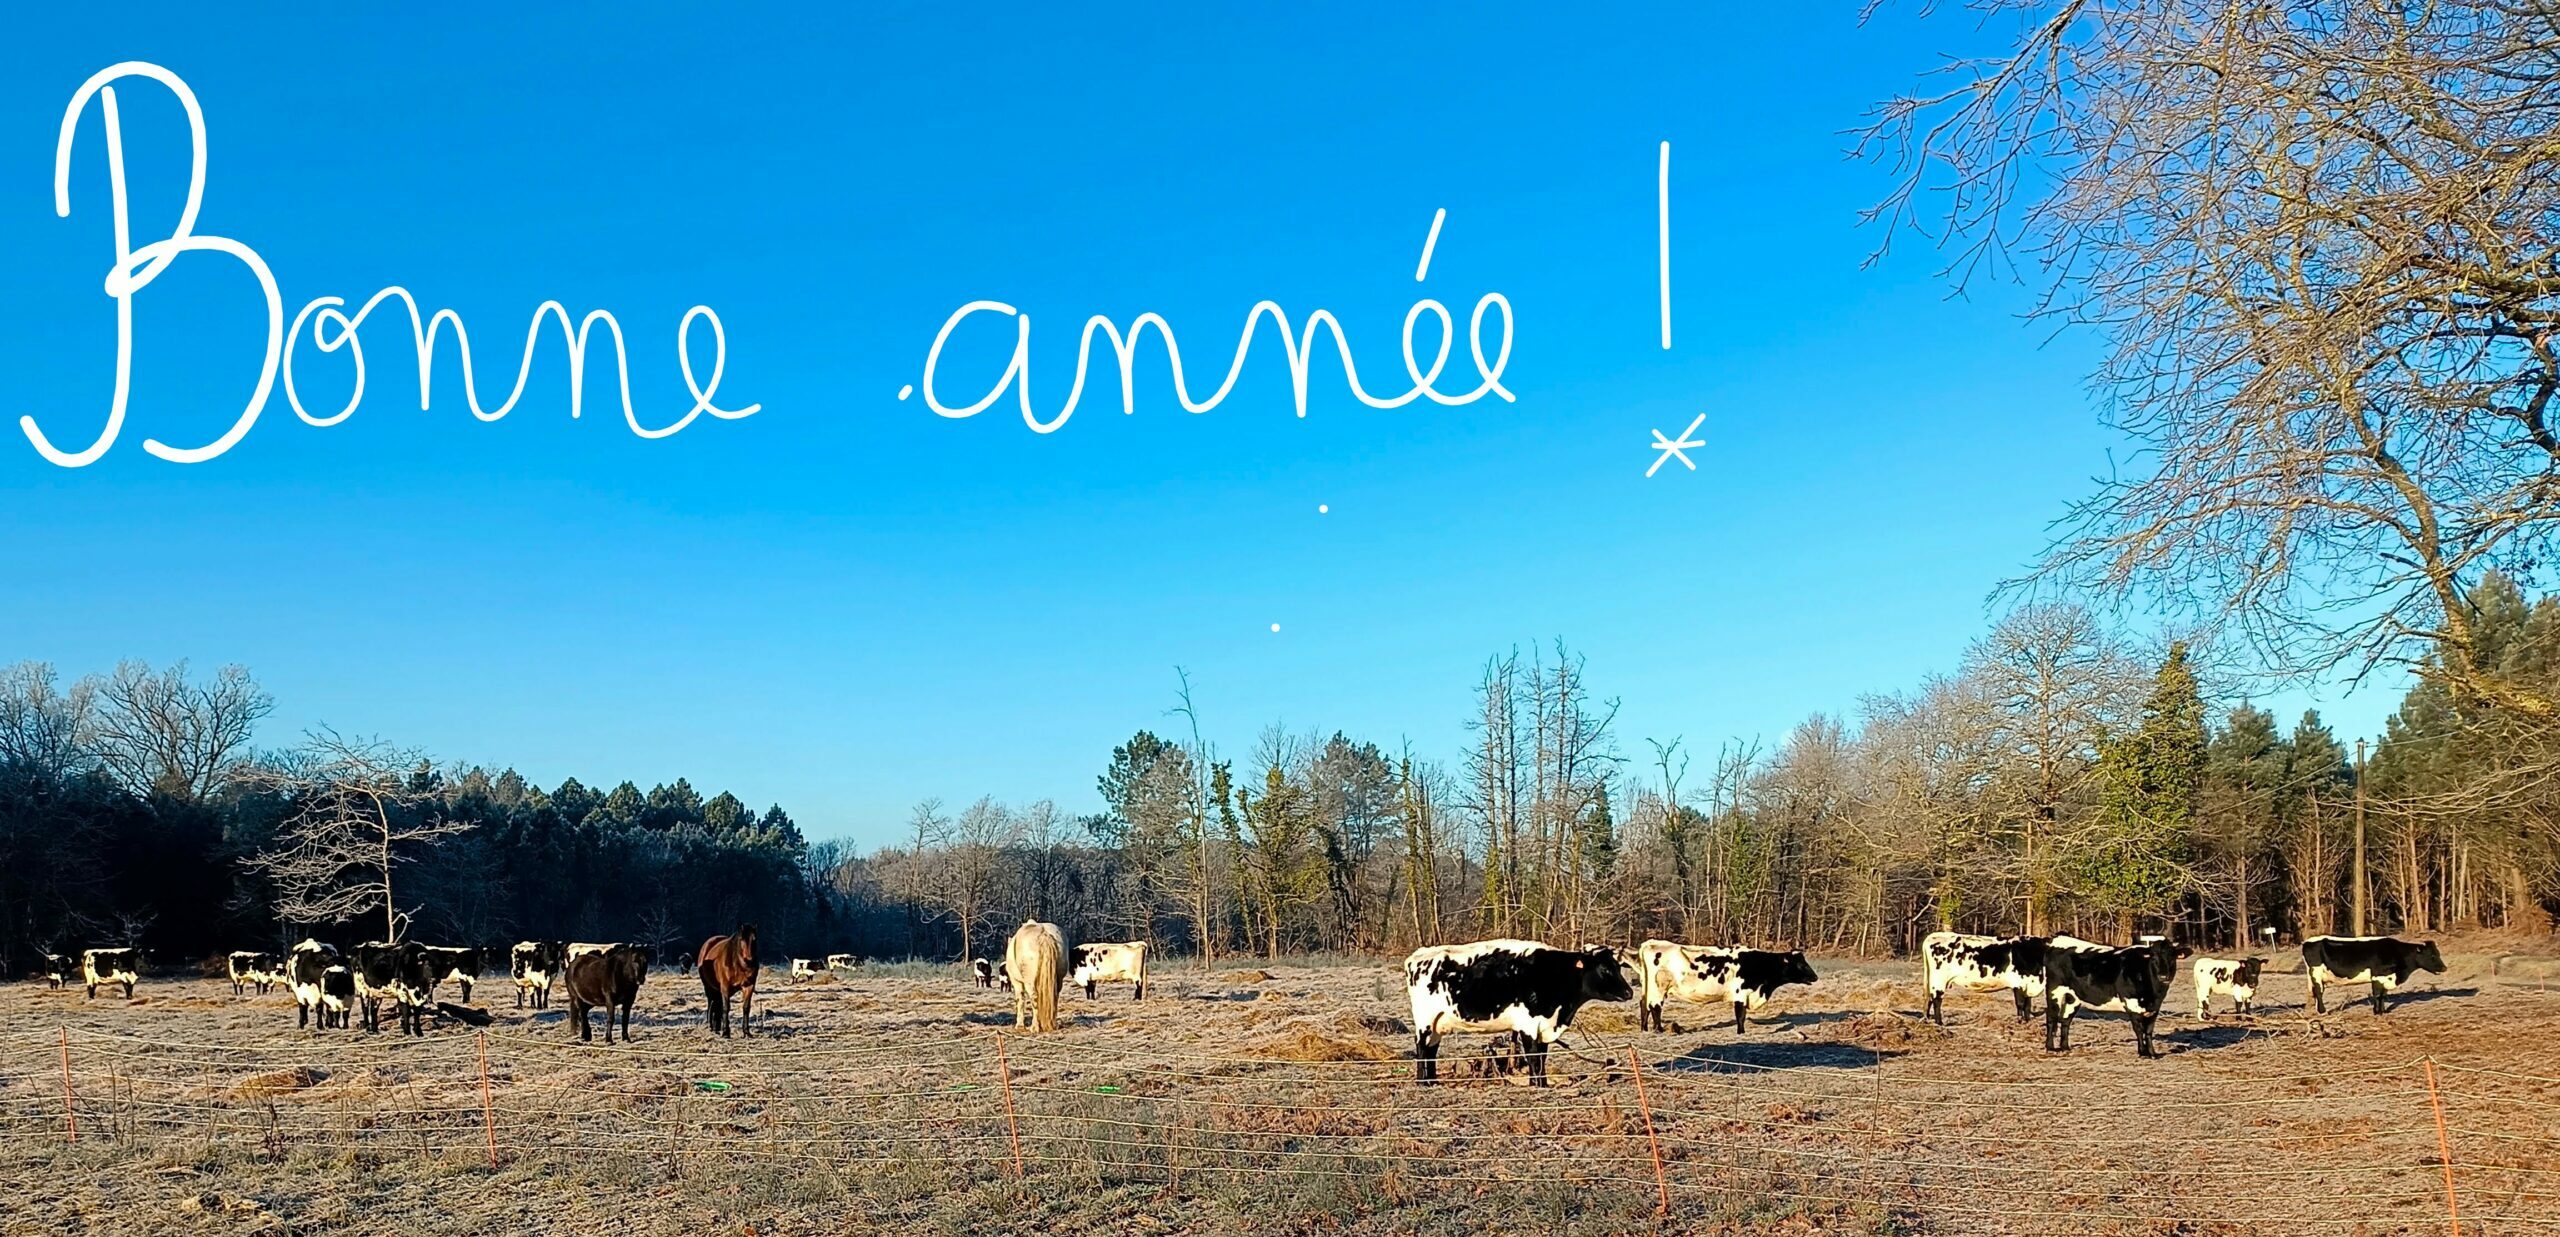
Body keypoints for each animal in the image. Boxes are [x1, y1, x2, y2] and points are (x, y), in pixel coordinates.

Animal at [1404, 940, 1633, 1087]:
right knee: (1422, 1048)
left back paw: (1433, 1081)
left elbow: (1542, 1056)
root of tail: (1418, 955)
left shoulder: (1544, 1027)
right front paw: (1536, 1085)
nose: (1629, 992)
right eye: (1605, 969)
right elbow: (1533, 1056)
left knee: (1432, 1050)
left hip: (1437, 1024)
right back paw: (1422, 1082)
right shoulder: (1529, 1024)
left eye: (1618, 966)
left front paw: (1542, 1083)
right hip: (1425, 1020)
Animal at [1634, 940, 1818, 1033]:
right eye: (1800, 964)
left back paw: (1645, 1028)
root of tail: (1650, 943)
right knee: (1655, 1007)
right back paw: (1659, 1029)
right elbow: (1740, 1015)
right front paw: (1741, 1032)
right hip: (1658, 988)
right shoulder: (1741, 994)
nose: (1815, 977)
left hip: (1648, 987)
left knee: (1644, 1005)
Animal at [2043, 939, 2181, 1057]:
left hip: (2073, 997)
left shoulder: (2155, 1008)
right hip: (2054, 990)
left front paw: (2152, 1053)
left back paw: (2065, 1047)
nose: (2163, 976)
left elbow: (2148, 1031)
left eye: (2172, 957)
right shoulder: (2131, 1003)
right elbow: (2139, 1029)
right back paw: (2050, 1048)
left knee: (2065, 1020)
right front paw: (2143, 1053)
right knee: (2051, 1018)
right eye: (2153, 957)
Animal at [2303, 935, 2446, 1015]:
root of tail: (2307, 941)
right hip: (2316, 972)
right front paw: (2376, 1012)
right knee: (2319, 991)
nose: (2445, 968)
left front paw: (2383, 1011)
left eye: (2438, 953)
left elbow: (2383, 995)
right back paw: (2323, 1012)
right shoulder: (2377, 976)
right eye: (2432, 956)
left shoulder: (2386, 978)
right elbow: (2377, 995)